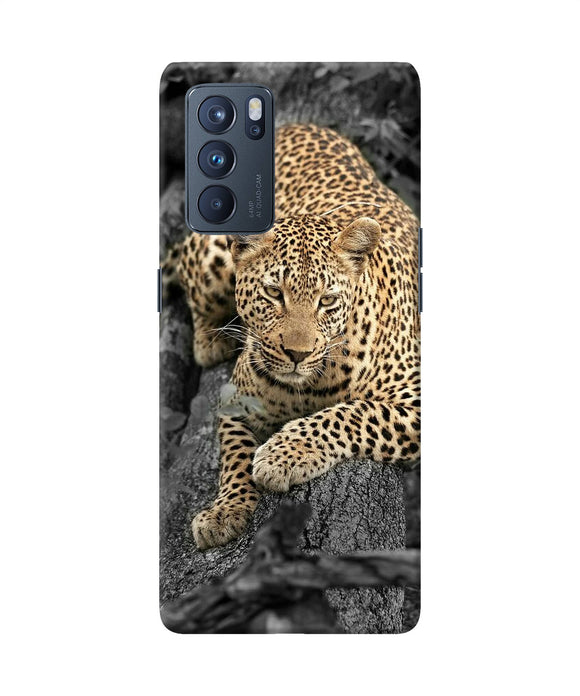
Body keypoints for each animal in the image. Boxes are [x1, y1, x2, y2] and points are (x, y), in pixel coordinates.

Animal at [163, 123, 420, 550]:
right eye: (273, 293)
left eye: (326, 300)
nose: (297, 354)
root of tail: (293, 125)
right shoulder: (235, 399)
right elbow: (234, 455)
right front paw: (224, 511)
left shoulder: (414, 399)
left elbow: (352, 413)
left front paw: (282, 455)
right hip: (212, 256)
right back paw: (211, 340)